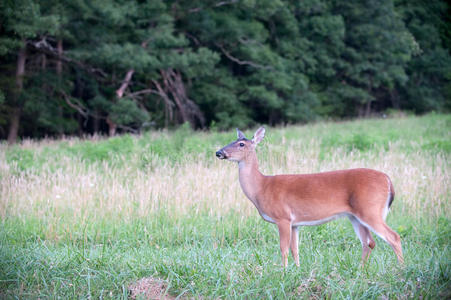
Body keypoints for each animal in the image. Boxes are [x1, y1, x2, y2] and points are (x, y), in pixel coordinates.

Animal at [217, 126, 404, 268]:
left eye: (241, 144)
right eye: (231, 141)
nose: (219, 152)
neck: (261, 187)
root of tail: (388, 180)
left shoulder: (282, 217)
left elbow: (283, 248)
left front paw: (283, 272)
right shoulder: (295, 223)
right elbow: (295, 249)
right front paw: (297, 270)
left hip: (370, 209)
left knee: (393, 237)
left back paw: (401, 269)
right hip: (355, 216)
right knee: (368, 242)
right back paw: (361, 270)